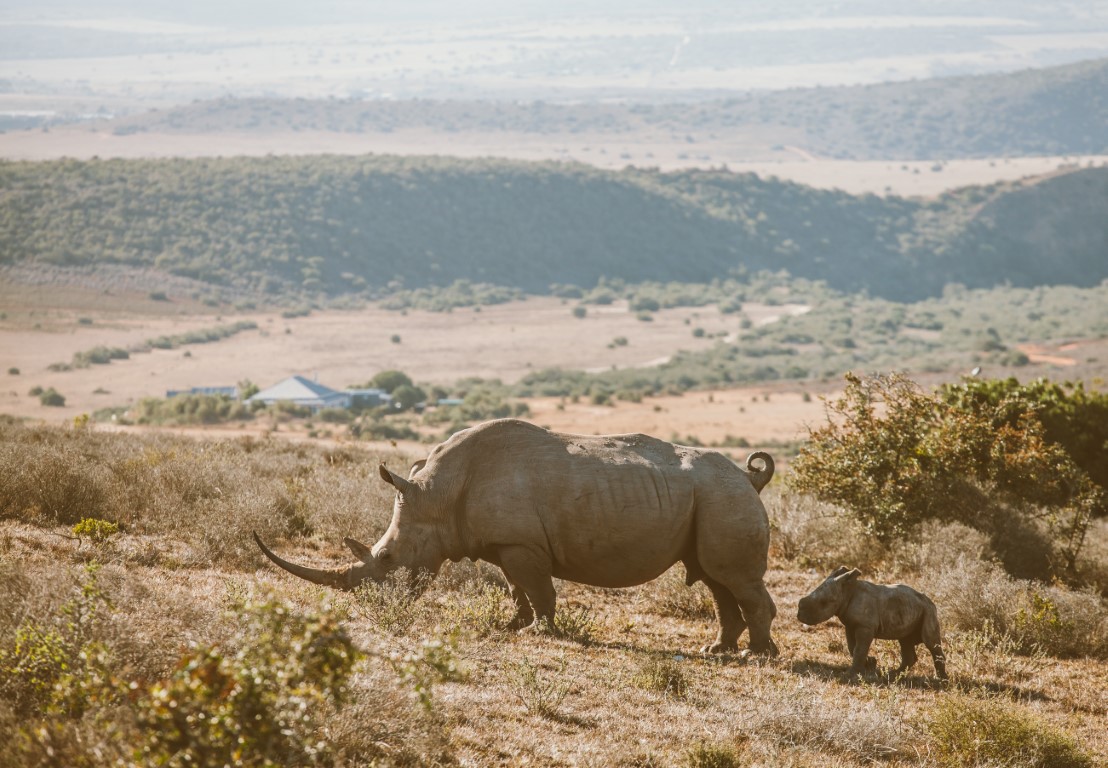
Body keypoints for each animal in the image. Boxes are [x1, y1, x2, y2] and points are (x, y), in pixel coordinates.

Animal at [254, 418, 779, 655]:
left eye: (385, 558)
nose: (377, 603)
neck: (437, 495)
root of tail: (750, 478)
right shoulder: (504, 545)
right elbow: (515, 587)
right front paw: (514, 626)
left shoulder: (522, 545)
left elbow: (540, 589)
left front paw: (538, 632)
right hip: (713, 497)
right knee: (714, 577)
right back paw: (719, 652)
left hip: (723, 496)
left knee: (731, 576)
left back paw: (758, 656)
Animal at [796, 566, 947, 679]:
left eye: (824, 602)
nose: (799, 615)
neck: (847, 591)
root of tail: (929, 601)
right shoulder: (850, 625)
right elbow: (852, 647)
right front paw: (870, 663)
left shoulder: (865, 627)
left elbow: (859, 649)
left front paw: (850, 675)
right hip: (913, 608)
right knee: (905, 640)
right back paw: (893, 675)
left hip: (928, 610)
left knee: (930, 642)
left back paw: (941, 680)